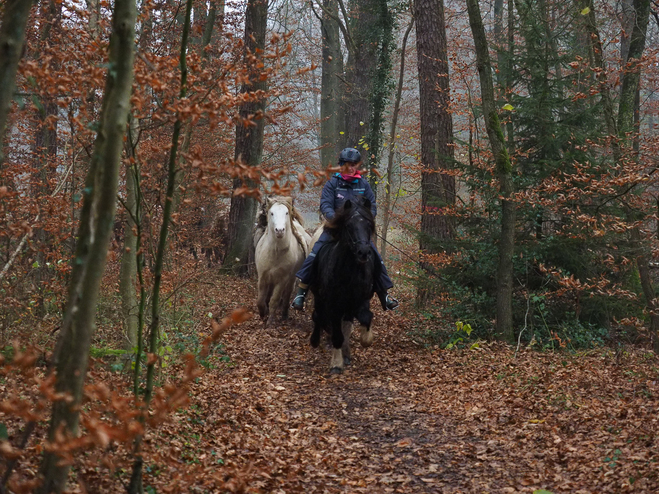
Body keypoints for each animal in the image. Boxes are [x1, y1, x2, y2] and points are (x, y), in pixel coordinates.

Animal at [255, 197, 312, 328]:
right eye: (271, 213)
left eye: (286, 213)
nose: (280, 230)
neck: (275, 253)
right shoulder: (263, 276)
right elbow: (260, 299)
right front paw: (263, 313)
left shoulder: (282, 279)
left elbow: (275, 300)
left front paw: (270, 321)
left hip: (291, 279)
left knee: (286, 295)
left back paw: (284, 314)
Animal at [308, 197, 378, 374]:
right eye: (349, 225)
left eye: (369, 225)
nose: (363, 252)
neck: (349, 272)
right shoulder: (333, 304)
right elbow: (337, 334)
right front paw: (336, 364)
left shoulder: (361, 300)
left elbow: (364, 318)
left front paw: (365, 340)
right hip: (318, 295)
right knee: (318, 315)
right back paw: (315, 340)